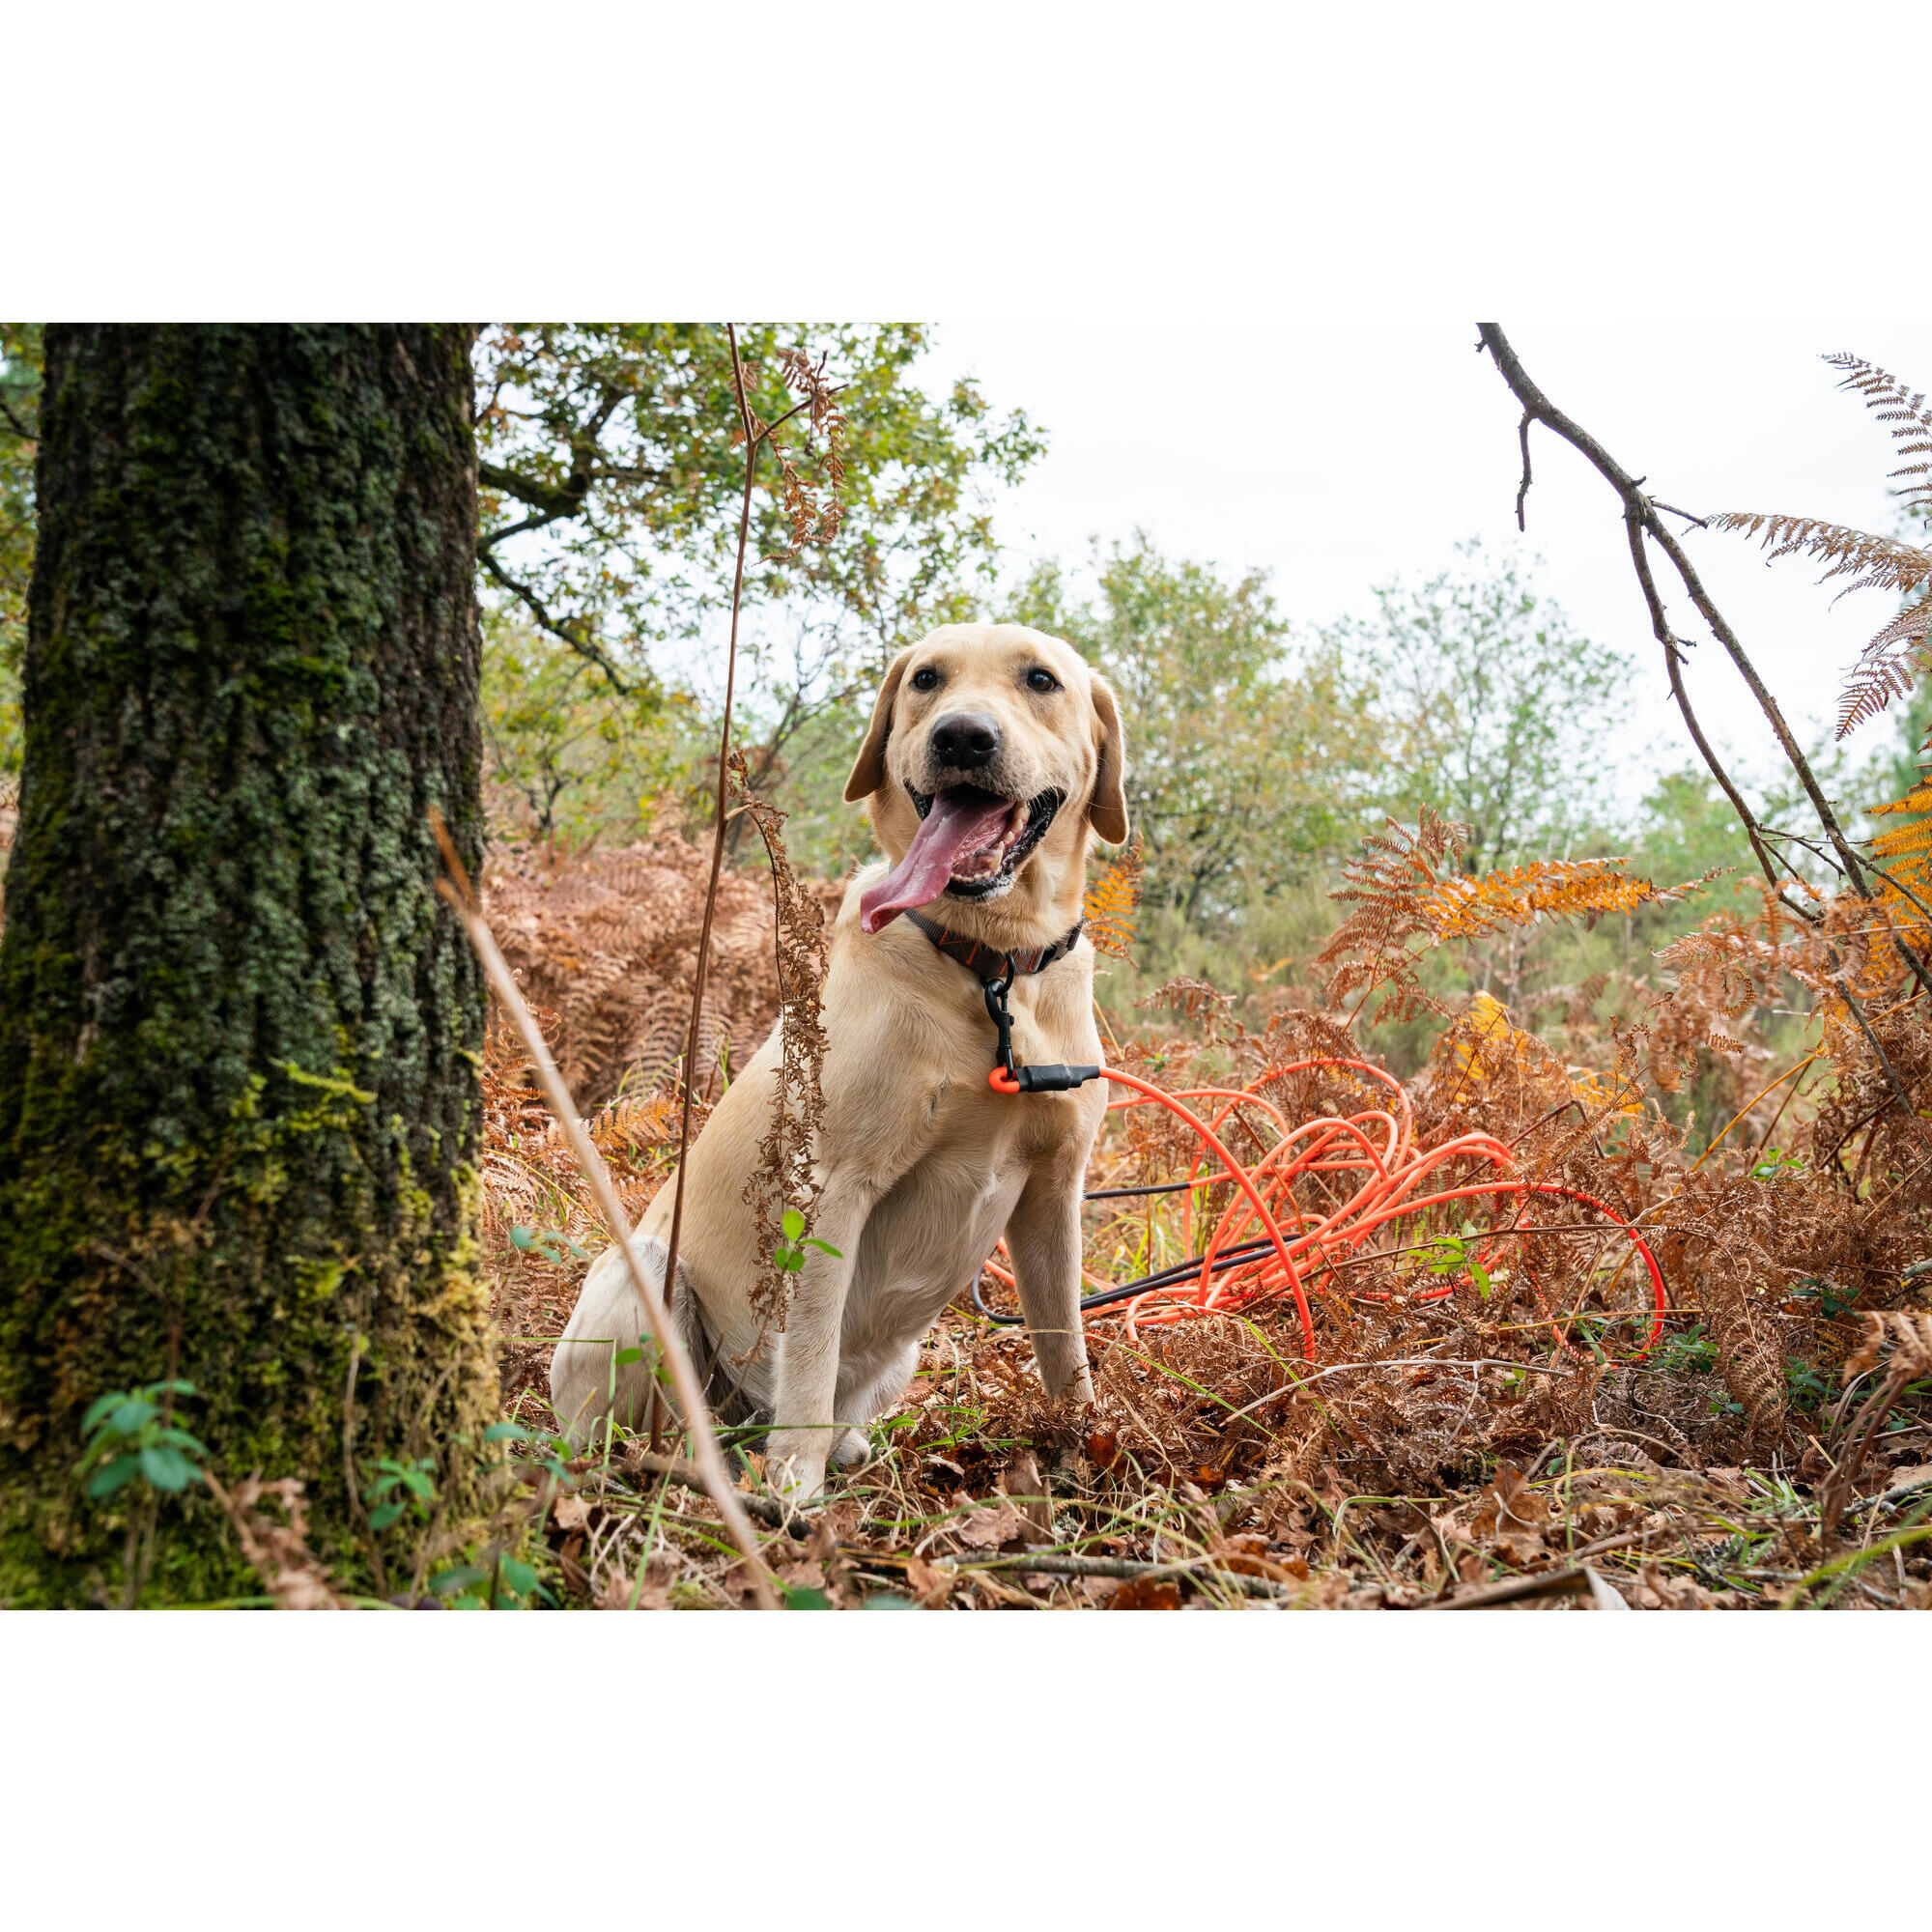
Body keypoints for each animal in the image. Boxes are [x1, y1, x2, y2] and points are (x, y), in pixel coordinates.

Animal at [553, 626, 1128, 1499]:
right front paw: (796, 1492)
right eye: (926, 679)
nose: (963, 736)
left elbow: (1065, 1343)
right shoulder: (833, 1189)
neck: (990, 965)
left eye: (1040, 680)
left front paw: (1086, 1448)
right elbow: (812, 1356)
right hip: (645, 1276)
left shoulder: (1056, 1190)